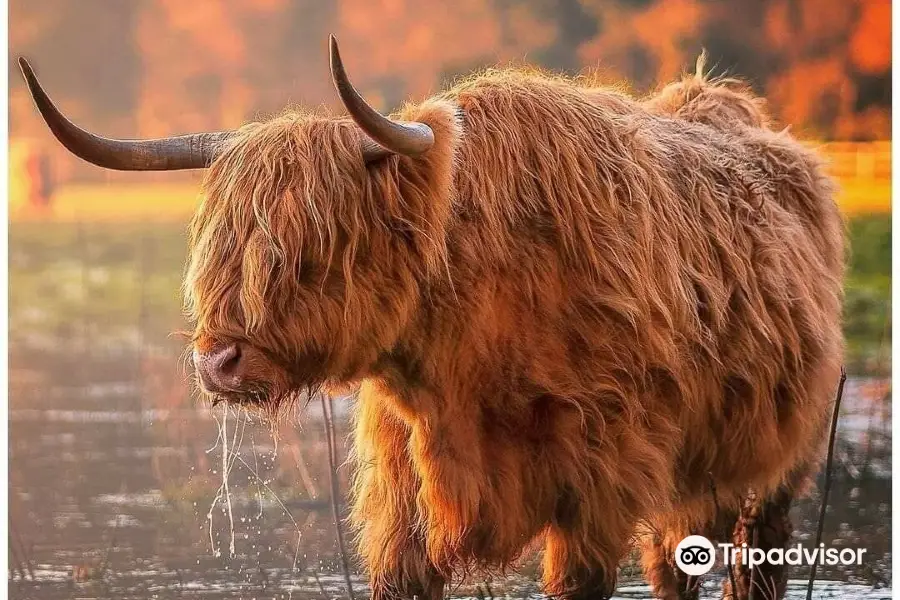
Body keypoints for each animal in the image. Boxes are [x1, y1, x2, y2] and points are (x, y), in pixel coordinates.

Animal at [19, 36, 844, 600]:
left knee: (751, 557)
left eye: (313, 246)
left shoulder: (600, 482)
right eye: (219, 247)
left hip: (781, 460)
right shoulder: (400, 498)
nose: (217, 362)